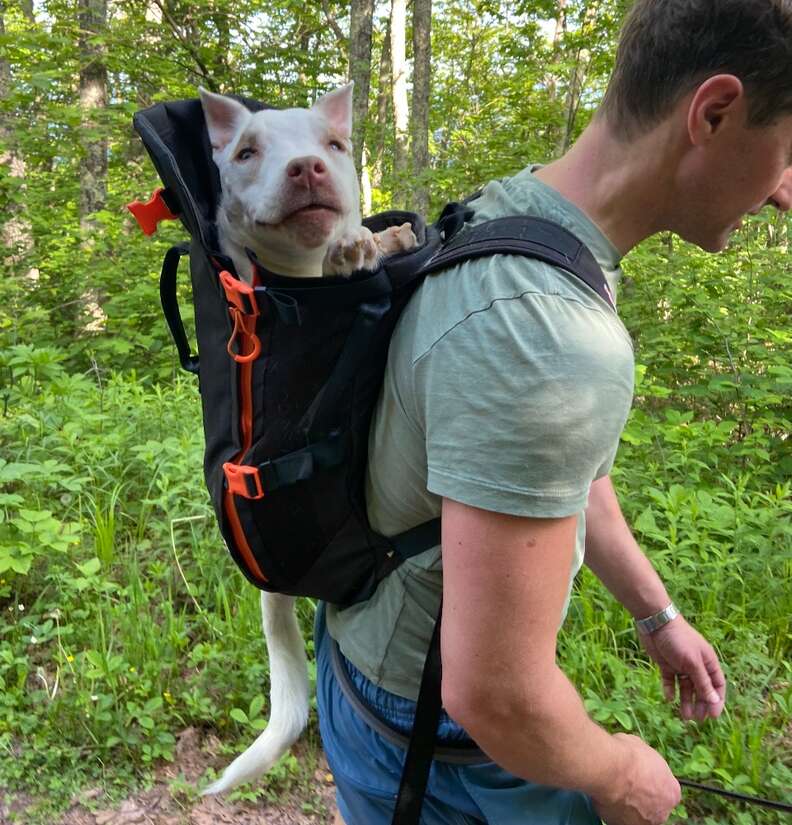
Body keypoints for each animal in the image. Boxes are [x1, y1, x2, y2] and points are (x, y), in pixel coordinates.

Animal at [198, 82, 418, 792]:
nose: (307, 169)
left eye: (335, 145)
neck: (307, 274)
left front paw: (378, 240)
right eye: (246, 152)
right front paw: (359, 250)